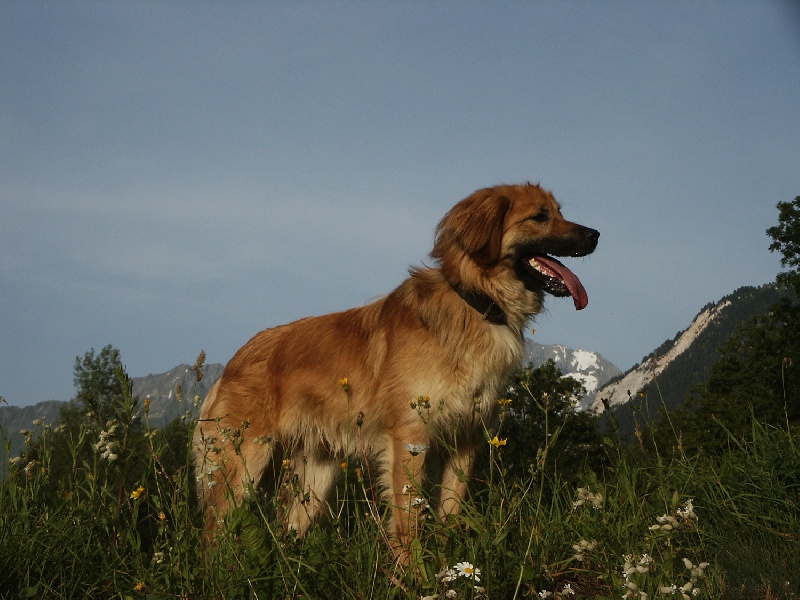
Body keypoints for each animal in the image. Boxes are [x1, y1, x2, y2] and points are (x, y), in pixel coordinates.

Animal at [192, 183, 592, 556]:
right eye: (539, 217)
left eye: (559, 211)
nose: (595, 235)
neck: (475, 302)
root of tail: (235, 360)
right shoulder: (410, 438)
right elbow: (407, 521)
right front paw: (412, 573)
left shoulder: (465, 439)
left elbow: (449, 512)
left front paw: (446, 568)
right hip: (244, 464)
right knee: (213, 534)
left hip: (316, 473)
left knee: (290, 525)